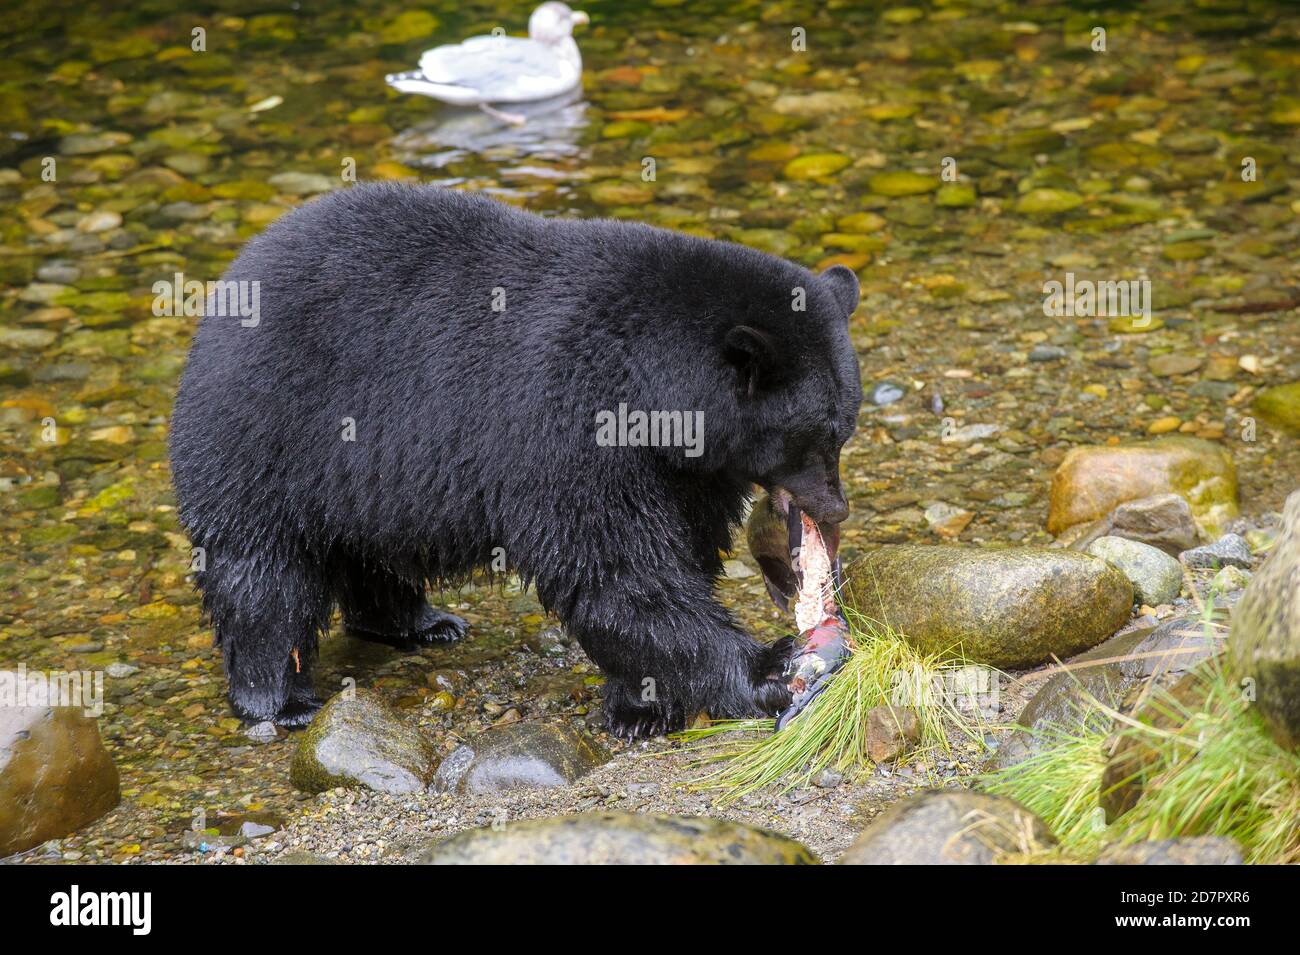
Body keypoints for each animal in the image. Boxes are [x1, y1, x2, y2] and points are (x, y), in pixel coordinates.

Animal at [168, 182, 862, 739]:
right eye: (814, 435)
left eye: (843, 429)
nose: (835, 509)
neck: (650, 386)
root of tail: (227, 288)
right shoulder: (566, 424)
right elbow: (614, 569)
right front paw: (766, 667)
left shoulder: (688, 468)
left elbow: (678, 553)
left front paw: (639, 705)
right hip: (264, 435)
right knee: (262, 578)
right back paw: (277, 700)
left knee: (366, 551)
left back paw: (417, 621)